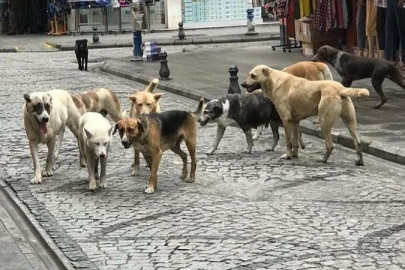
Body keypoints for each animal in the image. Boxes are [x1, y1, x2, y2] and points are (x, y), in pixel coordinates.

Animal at [241, 65, 370, 166]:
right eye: (249, 75)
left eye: (253, 75)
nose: (242, 84)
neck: (273, 80)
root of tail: (341, 88)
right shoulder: (295, 121)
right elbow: (295, 141)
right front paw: (294, 155)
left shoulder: (286, 120)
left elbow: (288, 142)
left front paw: (287, 155)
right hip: (350, 121)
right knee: (358, 143)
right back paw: (360, 161)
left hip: (324, 122)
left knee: (330, 145)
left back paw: (323, 160)